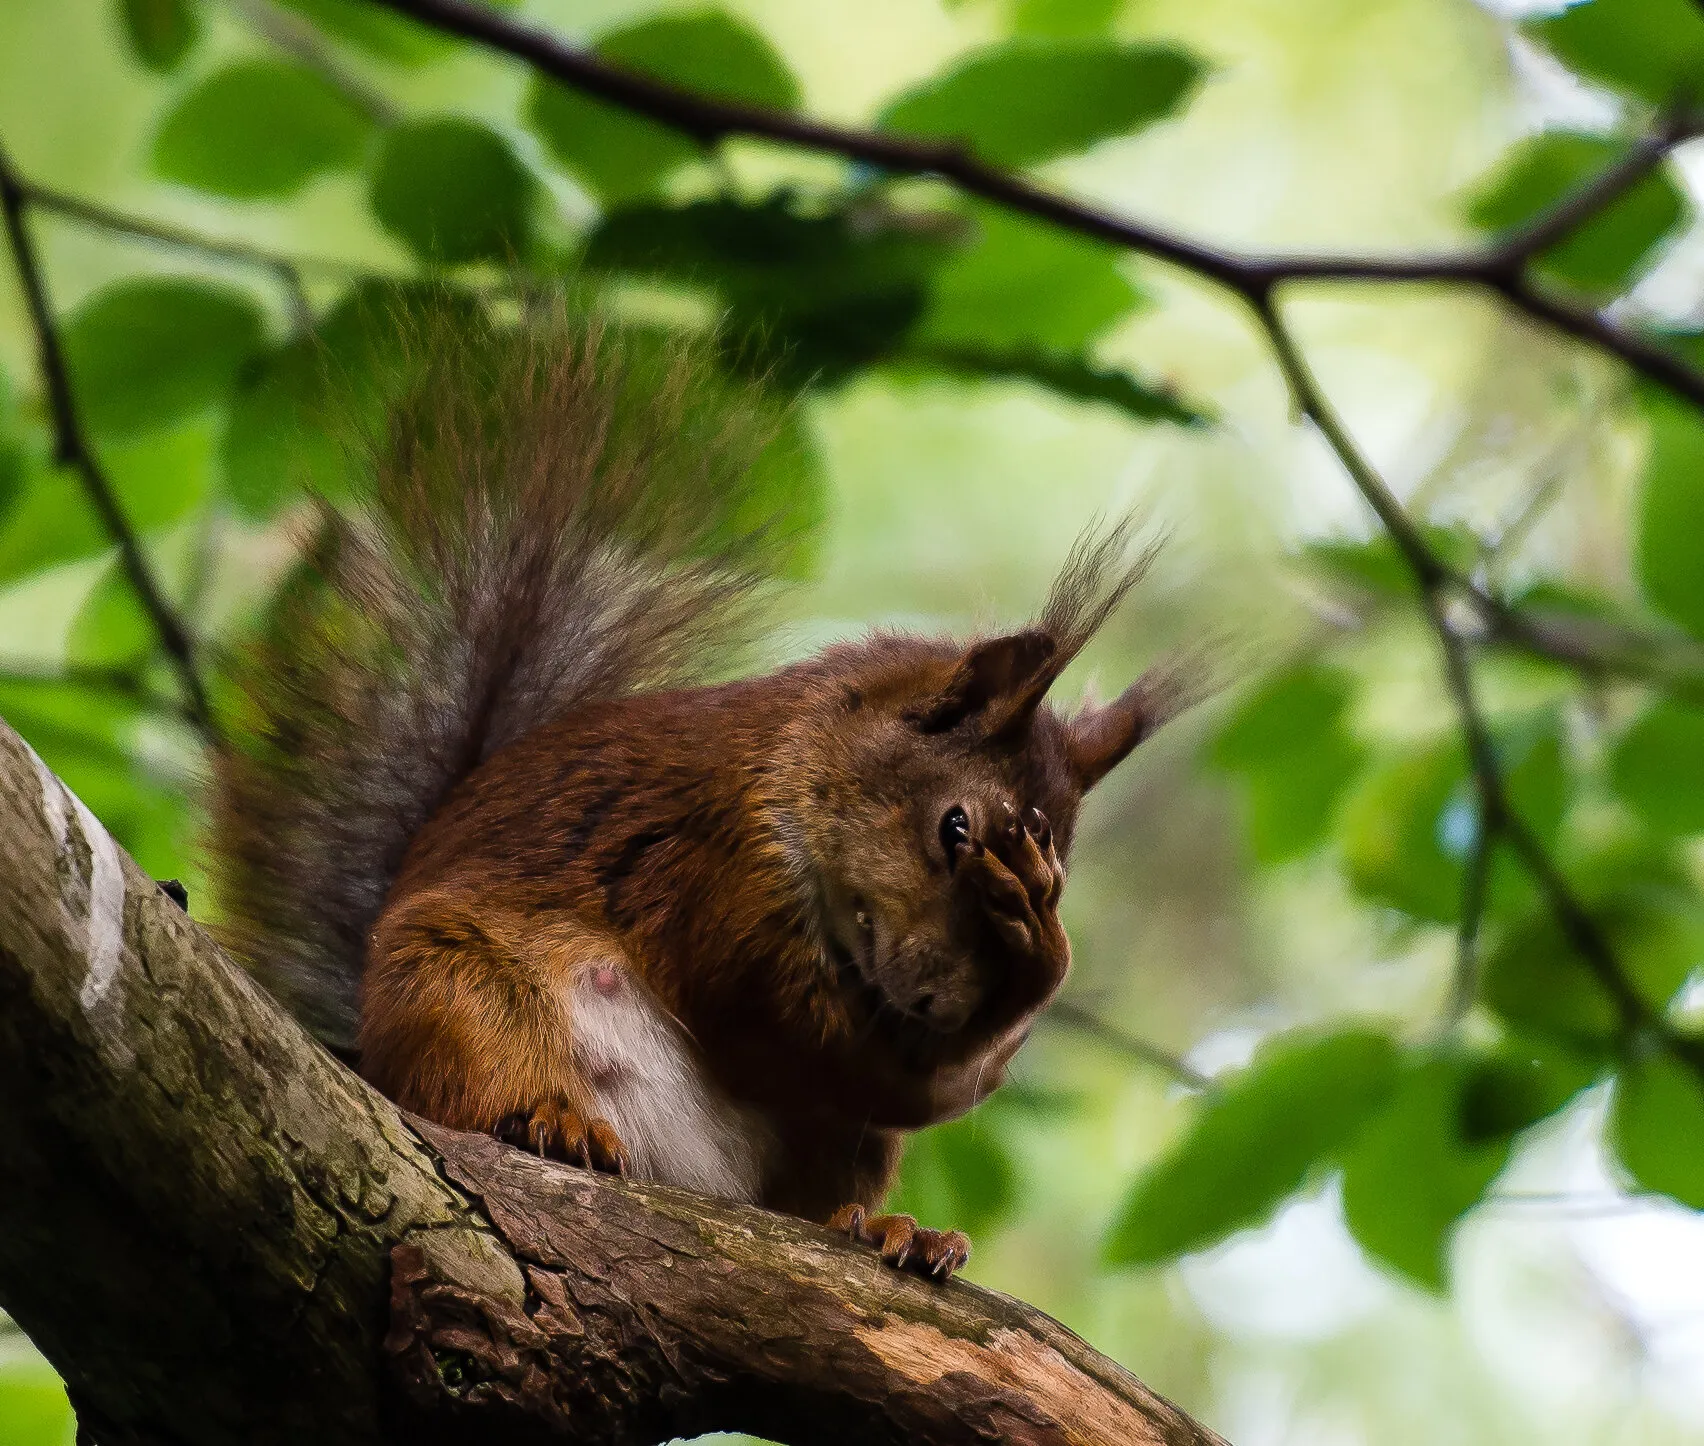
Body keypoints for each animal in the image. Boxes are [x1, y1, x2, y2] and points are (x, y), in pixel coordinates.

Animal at [207, 310, 1187, 1282]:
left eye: (1062, 867)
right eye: (954, 827)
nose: (941, 1003)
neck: (793, 765)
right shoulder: (712, 863)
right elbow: (807, 1041)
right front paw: (1033, 966)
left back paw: (883, 1230)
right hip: (450, 987)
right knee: (464, 1082)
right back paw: (547, 1121)